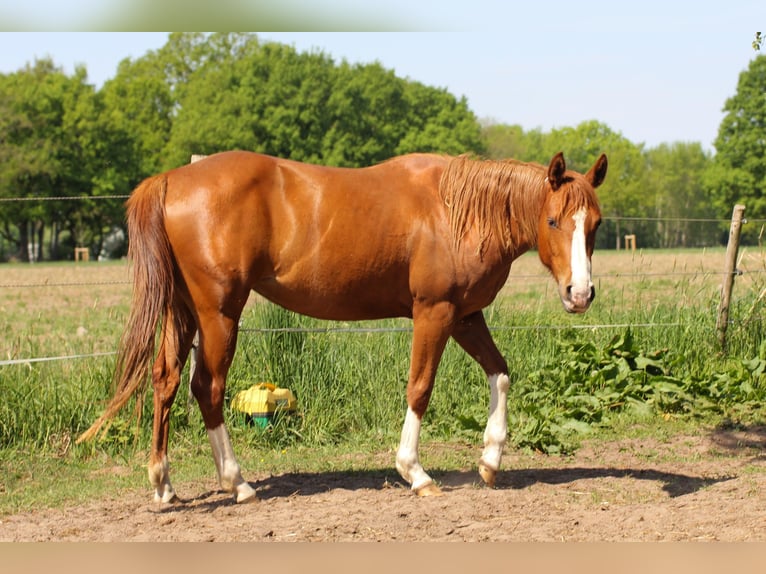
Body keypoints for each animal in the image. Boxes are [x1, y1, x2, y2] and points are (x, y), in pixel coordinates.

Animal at [77, 149, 606, 503]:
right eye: (554, 220)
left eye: (596, 223)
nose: (580, 294)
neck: (455, 211)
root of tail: (171, 178)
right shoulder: (433, 312)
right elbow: (420, 388)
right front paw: (414, 472)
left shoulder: (465, 316)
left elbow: (501, 373)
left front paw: (490, 461)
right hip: (219, 314)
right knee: (207, 387)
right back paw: (237, 482)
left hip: (182, 312)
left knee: (165, 381)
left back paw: (164, 485)